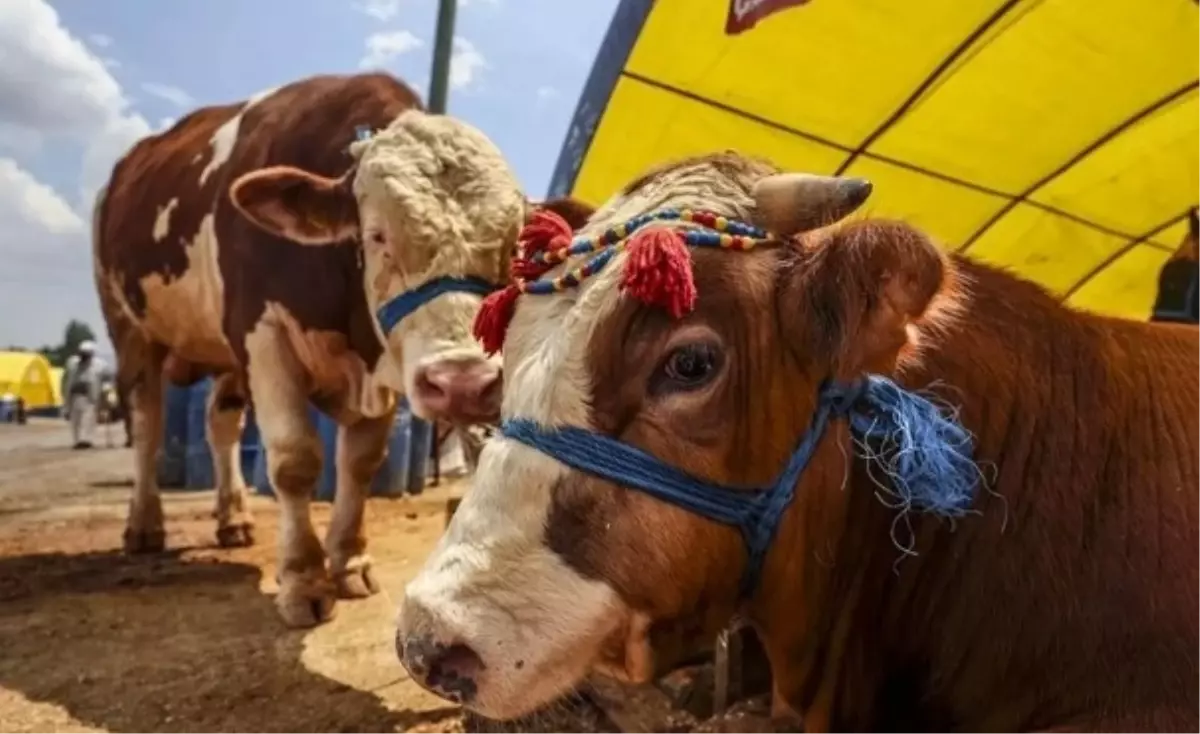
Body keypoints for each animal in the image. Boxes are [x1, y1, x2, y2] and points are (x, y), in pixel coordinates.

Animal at [91, 73, 588, 623]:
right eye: (377, 236)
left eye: (513, 243)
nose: (461, 383)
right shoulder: (262, 336)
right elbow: (294, 461)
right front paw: (303, 578)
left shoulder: (381, 361)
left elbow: (361, 462)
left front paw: (348, 559)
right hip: (131, 332)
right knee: (147, 424)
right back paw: (144, 524)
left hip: (223, 360)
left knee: (220, 425)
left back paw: (233, 518)